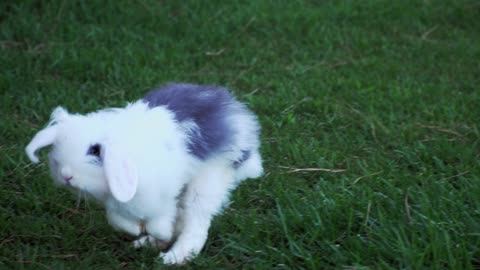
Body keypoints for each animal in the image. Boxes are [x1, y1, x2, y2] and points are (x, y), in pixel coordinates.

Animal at [24, 82, 264, 264]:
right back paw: (148, 244)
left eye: (95, 150)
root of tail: (237, 115)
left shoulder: (162, 195)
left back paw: (174, 257)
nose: (66, 175)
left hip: (207, 181)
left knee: (194, 221)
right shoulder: (116, 203)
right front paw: (137, 233)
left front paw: (160, 235)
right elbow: (119, 221)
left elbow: (161, 221)